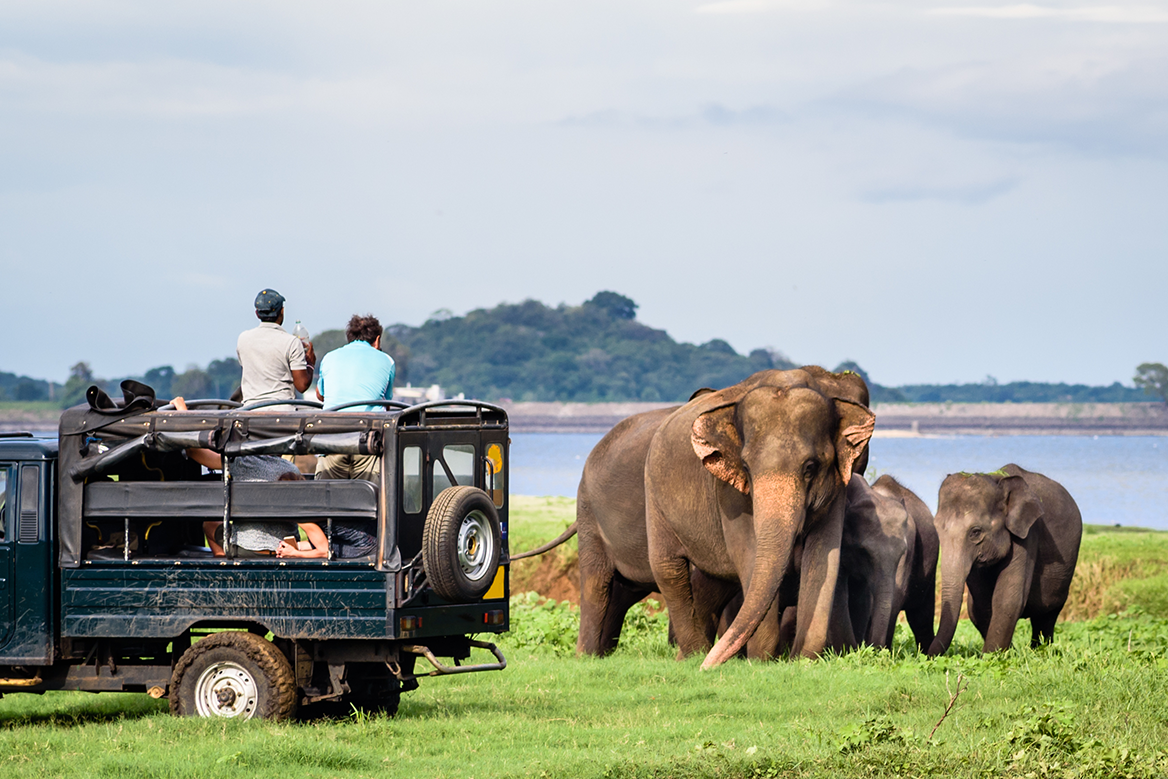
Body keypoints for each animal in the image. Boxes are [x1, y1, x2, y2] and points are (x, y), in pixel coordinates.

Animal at [929, 462, 1083, 658]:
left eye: (976, 532)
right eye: (936, 529)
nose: (925, 655)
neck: (997, 480)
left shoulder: (1028, 533)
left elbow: (1007, 598)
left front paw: (990, 658)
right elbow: (979, 606)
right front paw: (1003, 654)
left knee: (1047, 615)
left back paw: (1041, 652)